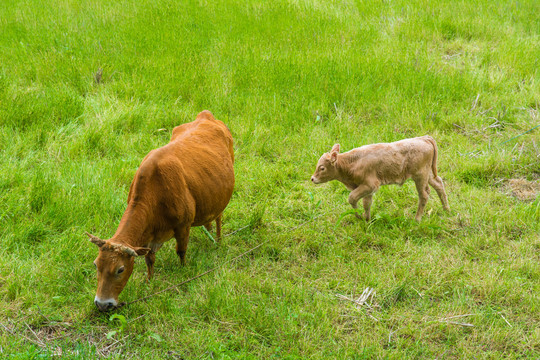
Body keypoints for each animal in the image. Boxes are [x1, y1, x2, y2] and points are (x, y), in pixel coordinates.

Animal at [86, 111, 234, 310]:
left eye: (120, 269)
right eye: (96, 265)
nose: (102, 304)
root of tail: (205, 115)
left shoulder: (183, 225)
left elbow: (181, 251)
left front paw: (183, 270)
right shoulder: (149, 237)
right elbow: (149, 260)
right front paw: (149, 282)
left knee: (219, 217)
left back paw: (217, 240)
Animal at [310, 136, 450, 222]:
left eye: (322, 168)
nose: (312, 178)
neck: (352, 163)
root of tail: (424, 138)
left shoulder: (370, 185)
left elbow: (352, 197)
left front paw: (359, 216)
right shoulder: (367, 189)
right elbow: (366, 203)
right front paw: (366, 219)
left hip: (420, 176)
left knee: (424, 195)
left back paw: (416, 220)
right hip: (429, 174)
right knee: (439, 184)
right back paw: (446, 209)